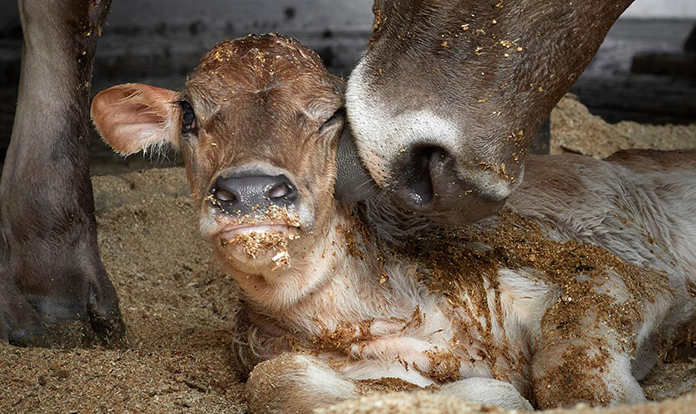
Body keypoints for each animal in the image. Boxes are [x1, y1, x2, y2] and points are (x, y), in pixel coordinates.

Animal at [91, 35, 696, 413]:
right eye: (189, 115)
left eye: (331, 116)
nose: (252, 191)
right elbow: (277, 383)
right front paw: (486, 397)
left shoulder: (615, 273)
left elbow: (574, 375)